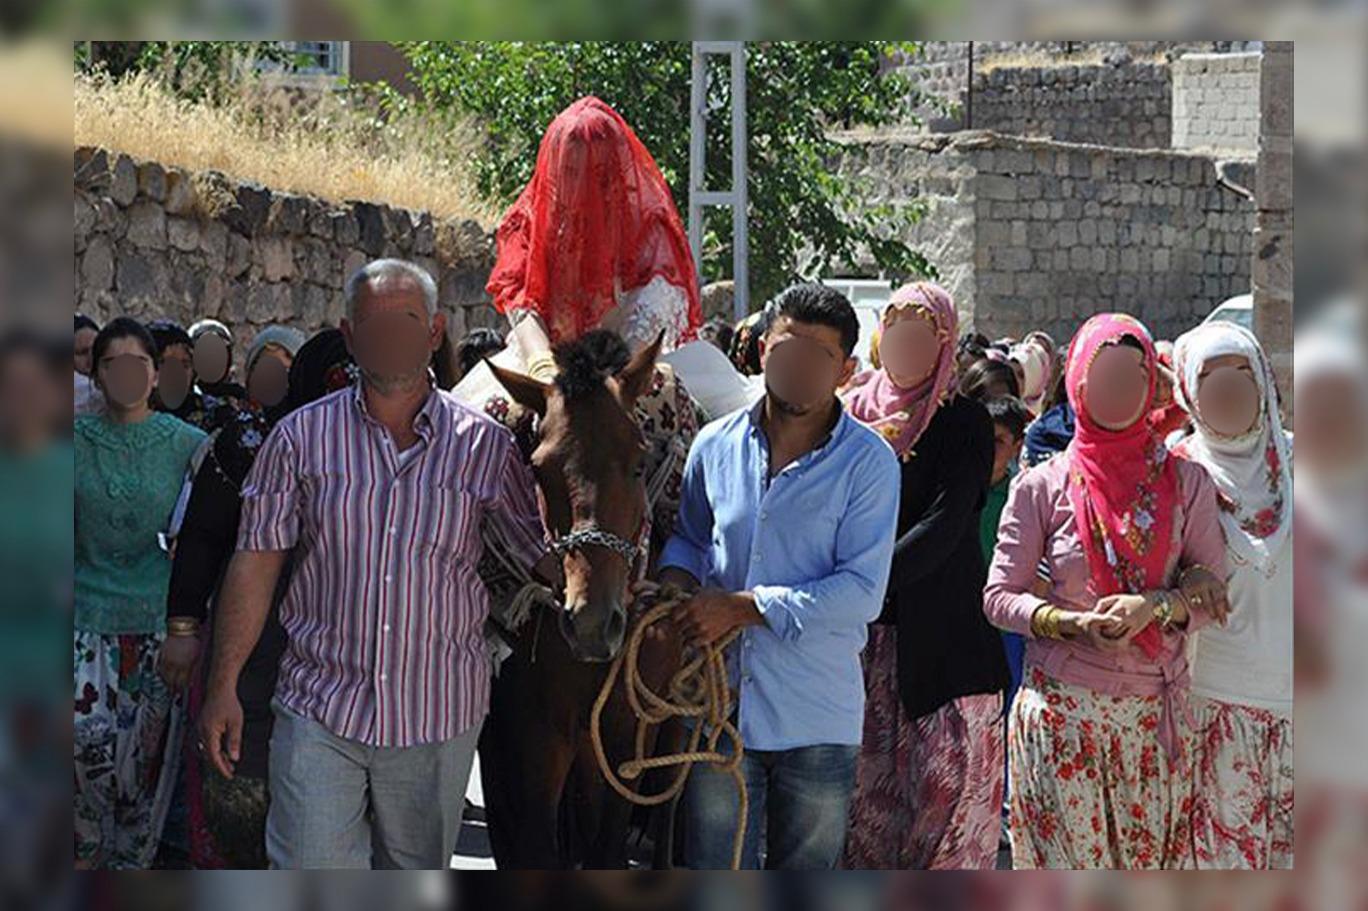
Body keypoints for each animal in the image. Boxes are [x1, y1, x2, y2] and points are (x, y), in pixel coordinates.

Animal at [481, 328, 694, 864]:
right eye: (539, 469)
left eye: (639, 463)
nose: (592, 624)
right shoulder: (537, 731)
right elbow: (538, 843)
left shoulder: (628, 727)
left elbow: (608, 845)